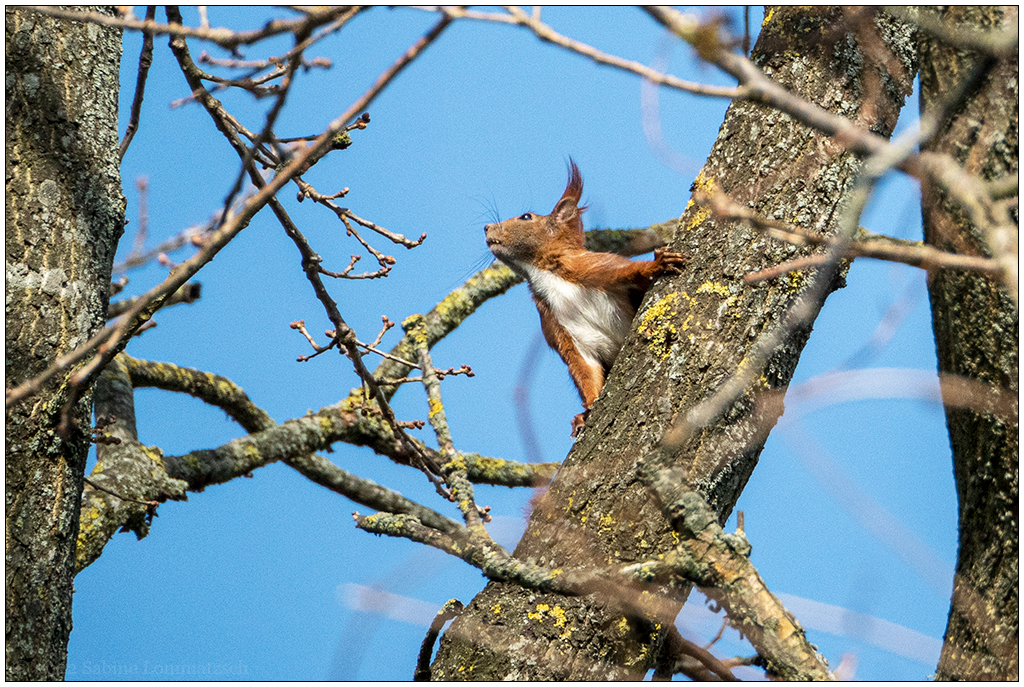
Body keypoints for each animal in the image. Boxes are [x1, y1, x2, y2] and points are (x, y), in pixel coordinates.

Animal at [485, 160, 688, 436]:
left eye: (526, 216)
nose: (486, 227)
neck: (544, 275)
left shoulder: (596, 267)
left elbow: (630, 271)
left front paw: (656, 264)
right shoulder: (560, 328)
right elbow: (584, 370)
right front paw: (587, 409)